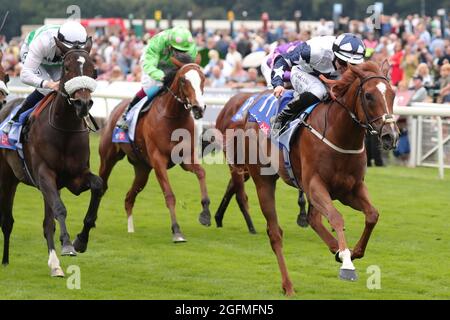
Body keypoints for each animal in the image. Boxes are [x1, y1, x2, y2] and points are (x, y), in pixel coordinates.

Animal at [0, 38, 102, 276]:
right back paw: (6, 260)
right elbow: (60, 209)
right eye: (67, 68)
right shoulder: (44, 174)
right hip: (6, 177)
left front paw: (81, 240)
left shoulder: (75, 178)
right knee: (6, 220)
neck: (64, 130)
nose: (83, 104)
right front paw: (67, 245)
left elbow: (98, 185)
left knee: (46, 223)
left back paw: (54, 266)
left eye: (93, 70)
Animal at [98, 57, 211, 242]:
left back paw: (130, 229)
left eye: (203, 78)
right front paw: (176, 231)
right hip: (108, 158)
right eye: (183, 80)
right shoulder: (159, 161)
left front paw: (206, 214)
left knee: (129, 197)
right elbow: (169, 195)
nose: (198, 108)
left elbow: (201, 172)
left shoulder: (186, 158)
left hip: (142, 169)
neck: (173, 118)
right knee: (101, 186)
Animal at [213, 94, 308, 234]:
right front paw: (303, 216)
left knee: (232, 186)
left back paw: (218, 218)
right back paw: (251, 227)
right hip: (239, 161)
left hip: (247, 167)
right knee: (240, 193)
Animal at [227, 60, 400, 296]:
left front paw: (352, 252)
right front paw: (347, 265)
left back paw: (336, 248)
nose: (391, 135)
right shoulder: (315, 185)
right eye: (369, 95)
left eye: (393, 94)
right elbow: (336, 217)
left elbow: (372, 215)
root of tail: (251, 107)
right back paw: (288, 285)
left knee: (313, 219)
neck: (340, 135)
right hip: (263, 180)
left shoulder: (350, 189)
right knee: (275, 234)